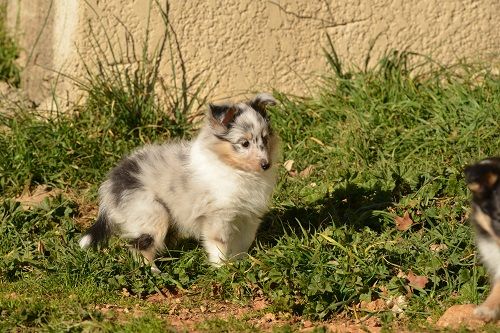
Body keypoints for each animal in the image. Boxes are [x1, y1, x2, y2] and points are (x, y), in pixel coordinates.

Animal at [80, 92, 280, 272]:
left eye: (265, 138)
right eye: (244, 143)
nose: (266, 165)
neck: (235, 168)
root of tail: (111, 183)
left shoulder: (248, 216)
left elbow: (243, 243)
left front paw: (242, 263)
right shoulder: (218, 218)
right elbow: (220, 246)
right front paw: (224, 269)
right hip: (152, 214)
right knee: (138, 247)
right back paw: (154, 272)